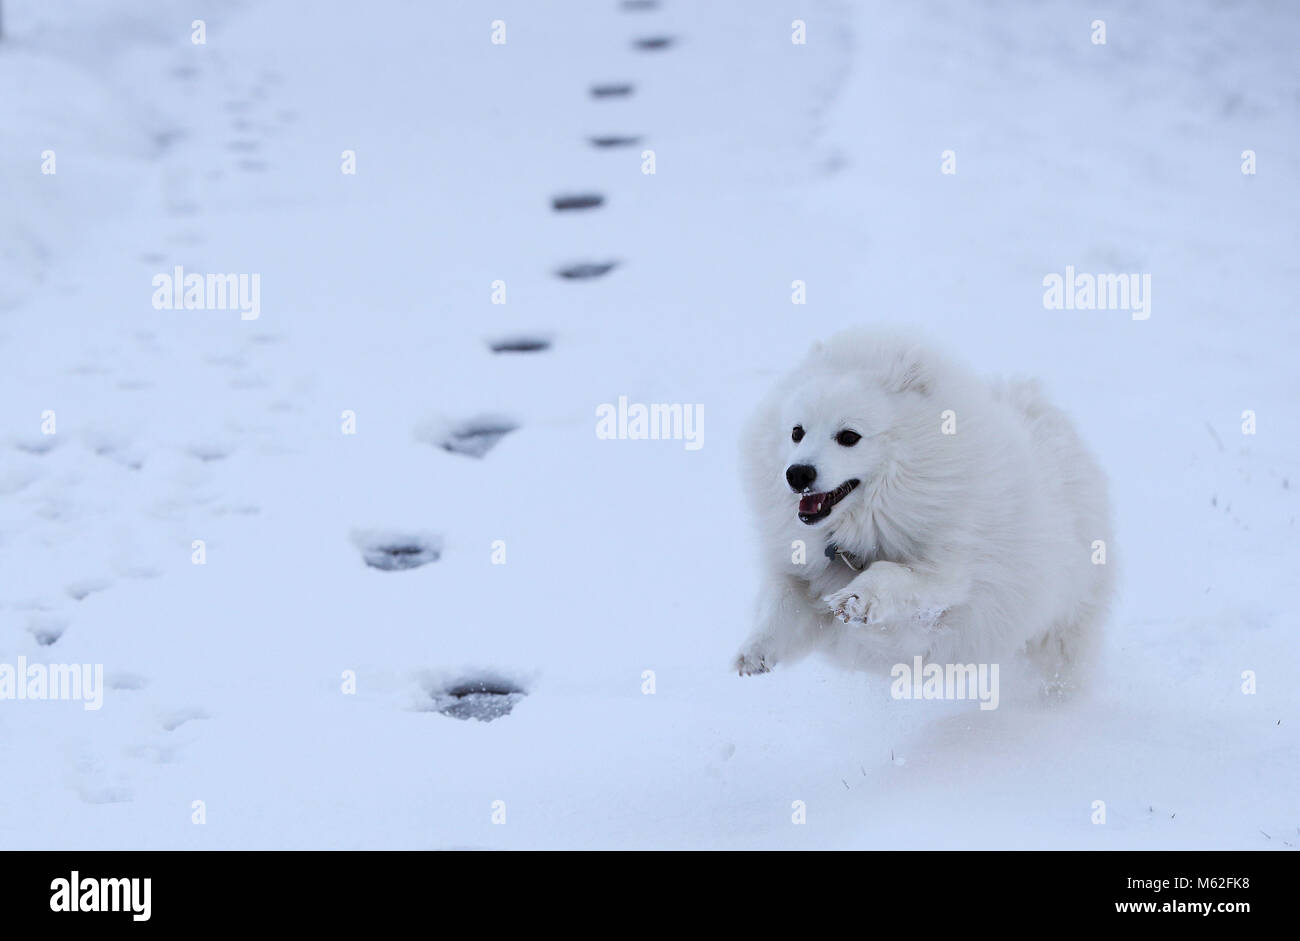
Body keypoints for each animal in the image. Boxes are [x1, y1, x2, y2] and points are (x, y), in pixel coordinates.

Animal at [738, 328, 1112, 691]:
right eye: (796, 432)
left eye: (848, 436)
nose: (797, 473)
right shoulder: (802, 573)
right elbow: (780, 605)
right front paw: (754, 652)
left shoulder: (950, 579)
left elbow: (893, 574)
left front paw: (856, 598)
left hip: (1060, 631)